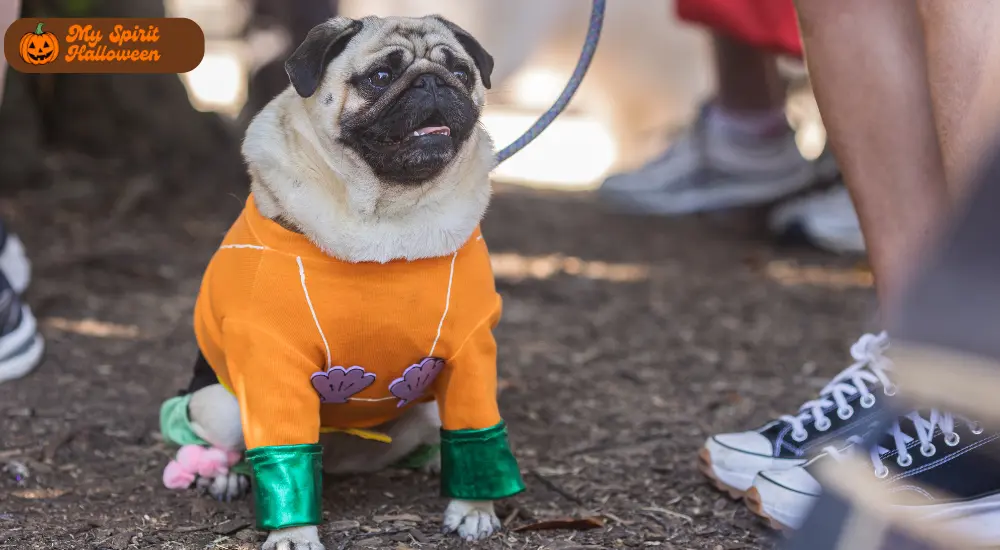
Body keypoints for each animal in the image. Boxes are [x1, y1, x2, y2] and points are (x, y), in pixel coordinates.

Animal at [158, 12, 524, 550]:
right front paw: (293, 534)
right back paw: (221, 474)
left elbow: (477, 433)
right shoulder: (272, 360)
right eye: (380, 76)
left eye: (459, 70)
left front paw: (474, 508)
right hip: (220, 403)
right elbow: (282, 456)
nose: (432, 81)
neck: (389, 218)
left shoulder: (471, 354)